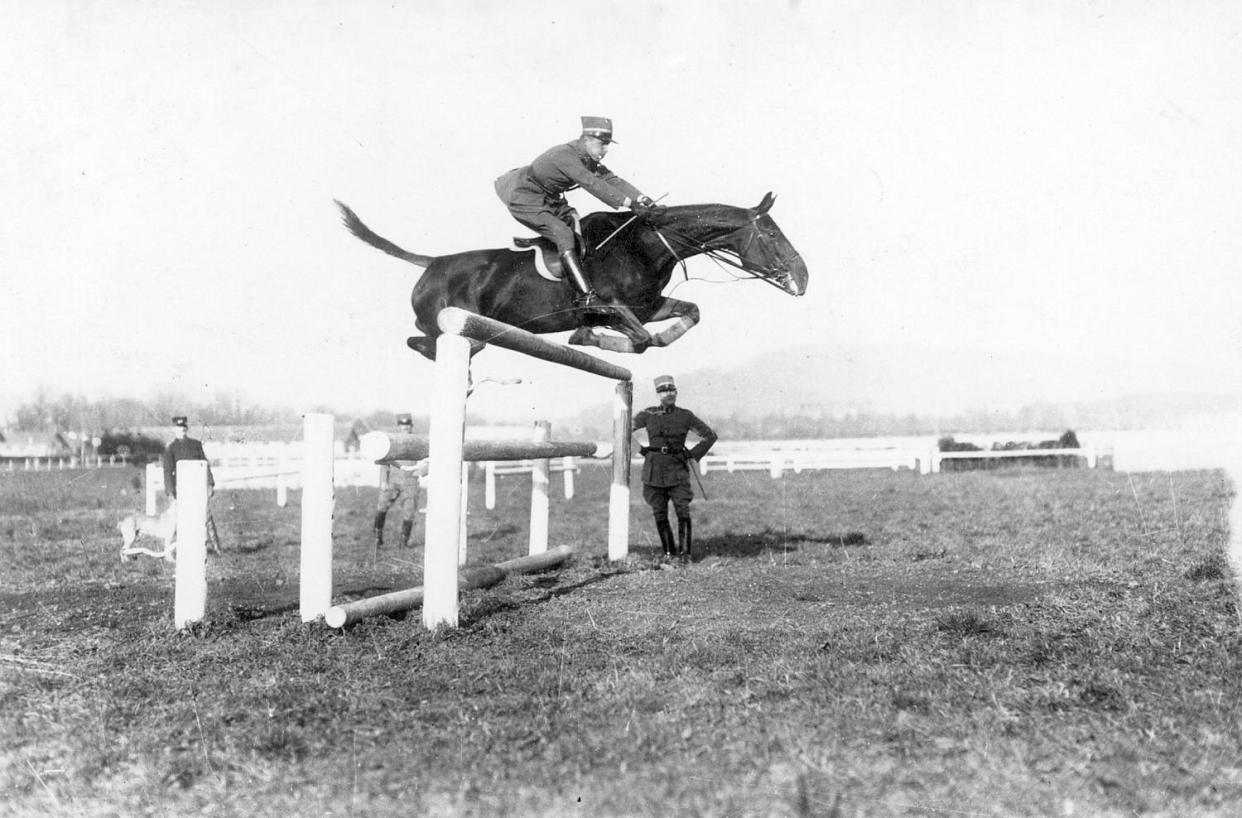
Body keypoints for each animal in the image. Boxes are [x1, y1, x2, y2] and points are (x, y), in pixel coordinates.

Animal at [335, 194, 809, 357]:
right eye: (771, 232)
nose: (803, 278)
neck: (643, 244)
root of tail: (431, 263)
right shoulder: (611, 306)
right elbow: (636, 339)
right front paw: (595, 340)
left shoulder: (648, 306)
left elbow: (687, 314)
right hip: (445, 322)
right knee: (423, 341)